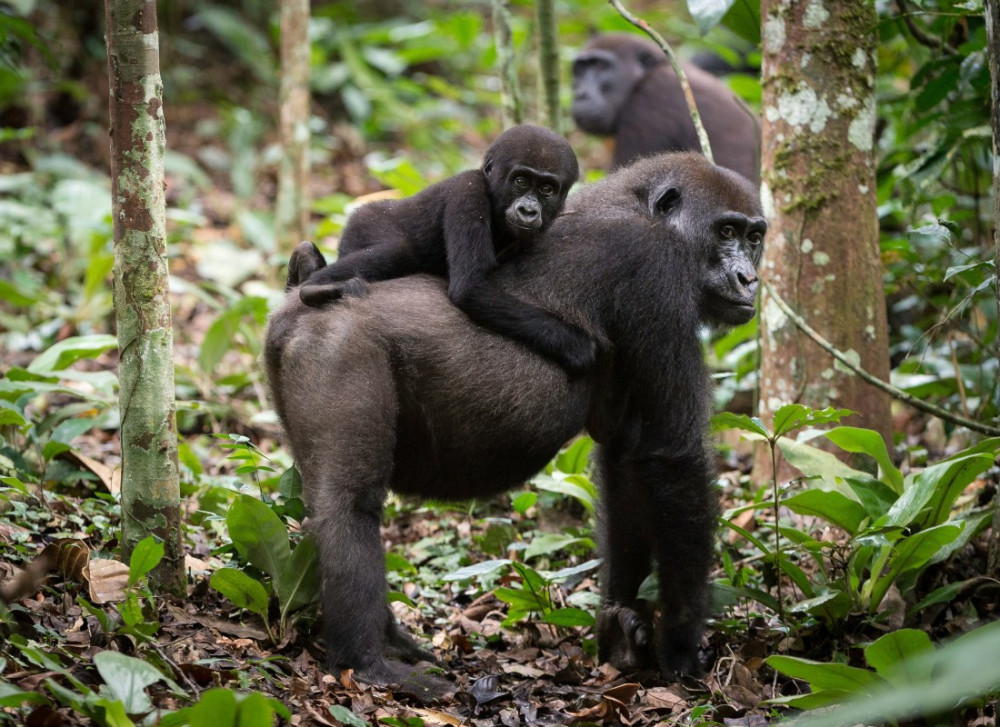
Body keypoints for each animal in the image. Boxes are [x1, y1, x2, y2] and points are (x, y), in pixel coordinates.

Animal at [264, 152, 765, 689]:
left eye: (755, 238)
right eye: (726, 231)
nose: (748, 280)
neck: (638, 204)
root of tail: (294, 305)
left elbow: (627, 457)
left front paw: (620, 625)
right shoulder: (658, 270)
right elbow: (674, 456)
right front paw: (680, 643)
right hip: (341, 346)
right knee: (349, 505)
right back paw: (366, 661)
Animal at [292, 124, 595, 376]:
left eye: (546, 189)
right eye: (520, 181)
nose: (528, 211)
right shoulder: (468, 192)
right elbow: (471, 287)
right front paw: (574, 345)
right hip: (364, 223)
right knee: (397, 251)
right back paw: (314, 286)